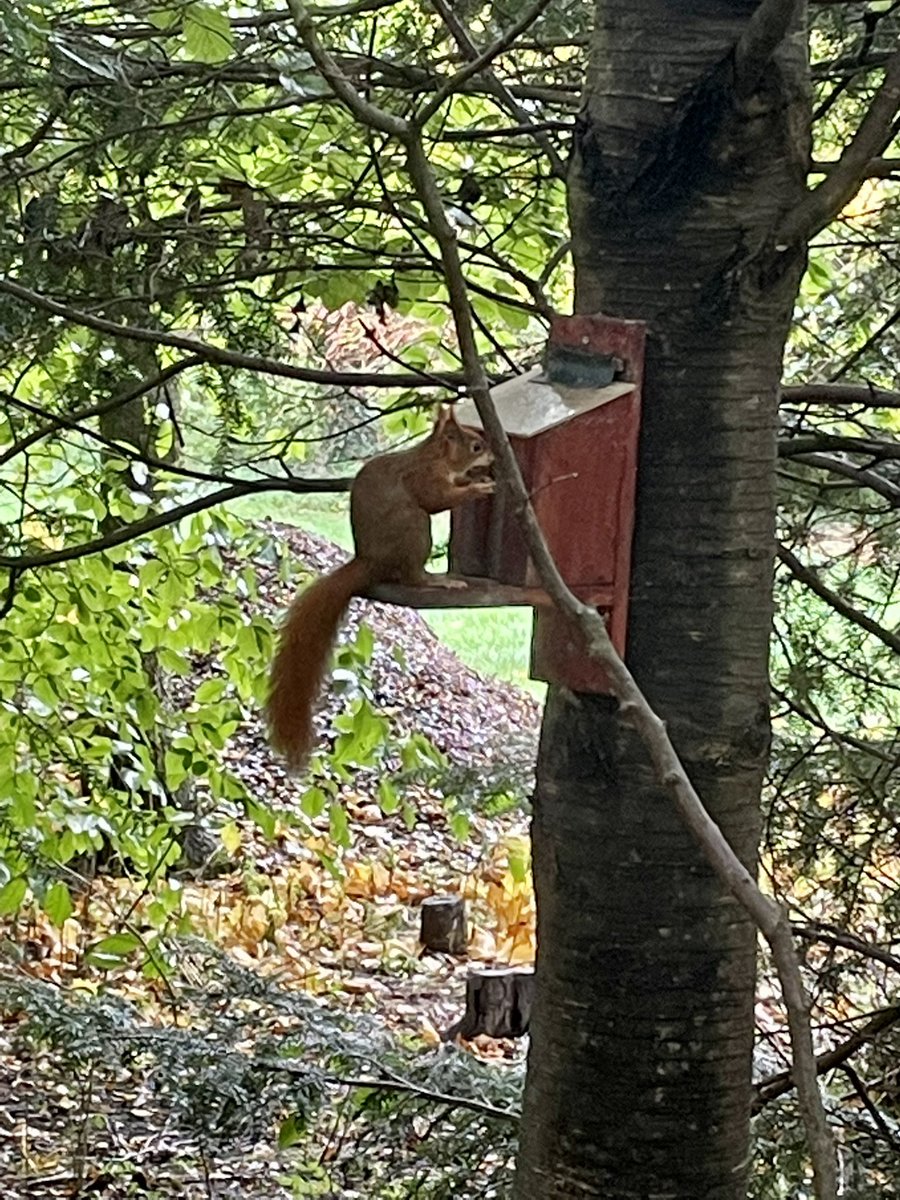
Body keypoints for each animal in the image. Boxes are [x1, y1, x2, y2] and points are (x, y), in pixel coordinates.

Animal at [267, 405, 495, 769]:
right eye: (475, 446)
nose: (493, 459)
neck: (435, 457)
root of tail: (369, 561)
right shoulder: (423, 478)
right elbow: (436, 499)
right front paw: (479, 489)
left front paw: (475, 481)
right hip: (415, 528)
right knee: (413, 574)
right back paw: (439, 580)